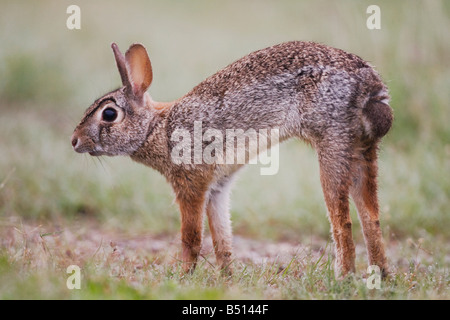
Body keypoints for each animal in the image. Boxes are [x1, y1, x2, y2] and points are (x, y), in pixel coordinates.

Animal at [72, 41, 392, 278]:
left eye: (109, 114)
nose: (74, 141)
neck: (155, 128)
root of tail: (370, 84)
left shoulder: (191, 183)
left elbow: (192, 237)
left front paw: (183, 276)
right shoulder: (217, 188)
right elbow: (221, 239)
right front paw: (227, 277)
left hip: (332, 138)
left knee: (343, 220)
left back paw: (344, 276)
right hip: (361, 148)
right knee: (370, 216)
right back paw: (381, 277)